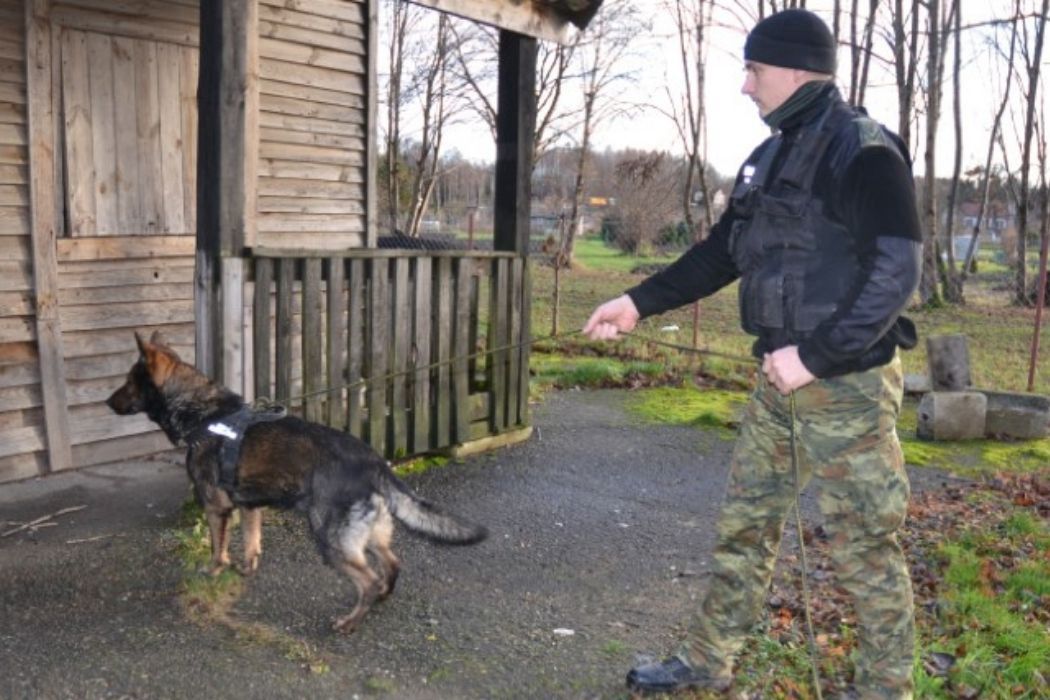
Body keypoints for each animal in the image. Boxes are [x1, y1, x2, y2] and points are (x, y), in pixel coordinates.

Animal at [108, 331, 485, 633]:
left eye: (128, 382)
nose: (106, 402)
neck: (203, 412)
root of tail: (373, 460)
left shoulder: (216, 508)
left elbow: (218, 549)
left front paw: (213, 572)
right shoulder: (250, 507)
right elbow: (251, 544)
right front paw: (247, 570)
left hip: (330, 540)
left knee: (369, 579)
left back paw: (351, 621)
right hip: (370, 533)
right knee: (391, 565)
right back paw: (382, 598)